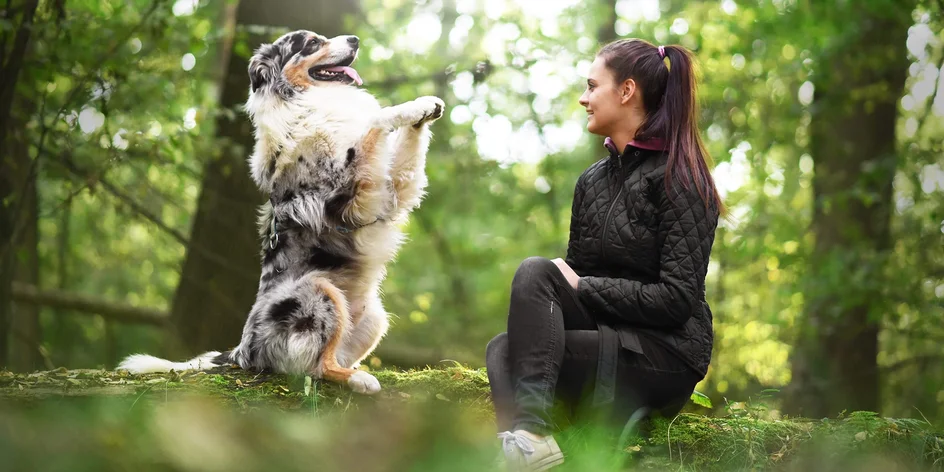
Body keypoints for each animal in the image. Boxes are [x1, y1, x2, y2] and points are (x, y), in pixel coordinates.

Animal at [115, 29, 446, 394]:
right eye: (312, 43)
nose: (355, 39)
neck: (306, 101)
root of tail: (242, 351)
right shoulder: (352, 188)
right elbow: (375, 119)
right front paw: (408, 108)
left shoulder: (390, 195)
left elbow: (404, 157)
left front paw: (426, 107)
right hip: (316, 294)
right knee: (315, 368)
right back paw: (360, 380)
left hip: (373, 317)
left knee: (326, 358)